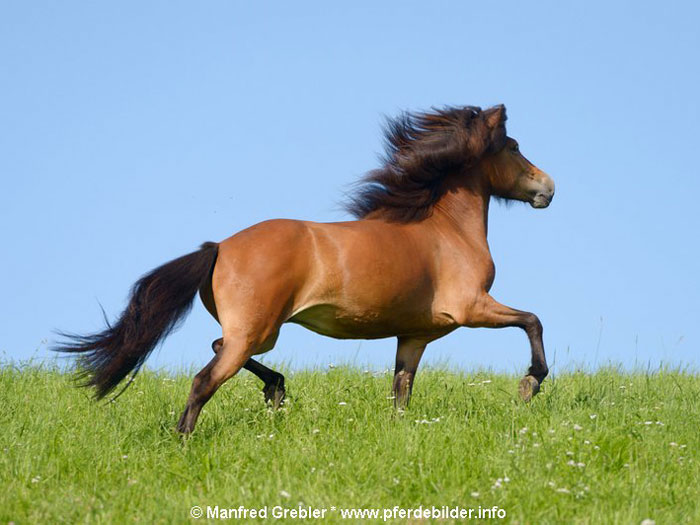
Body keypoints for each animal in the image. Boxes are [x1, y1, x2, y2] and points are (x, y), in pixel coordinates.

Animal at [56, 104, 555, 434]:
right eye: (513, 146)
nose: (548, 188)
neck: (446, 232)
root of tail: (219, 247)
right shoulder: (472, 308)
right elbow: (532, 320)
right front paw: (529, 384)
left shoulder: (414, 336)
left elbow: (401, 392)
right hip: (255, 331)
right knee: (204, 380)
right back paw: (186, 440)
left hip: (258, 331)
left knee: (221, 349)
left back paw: (276, 390)